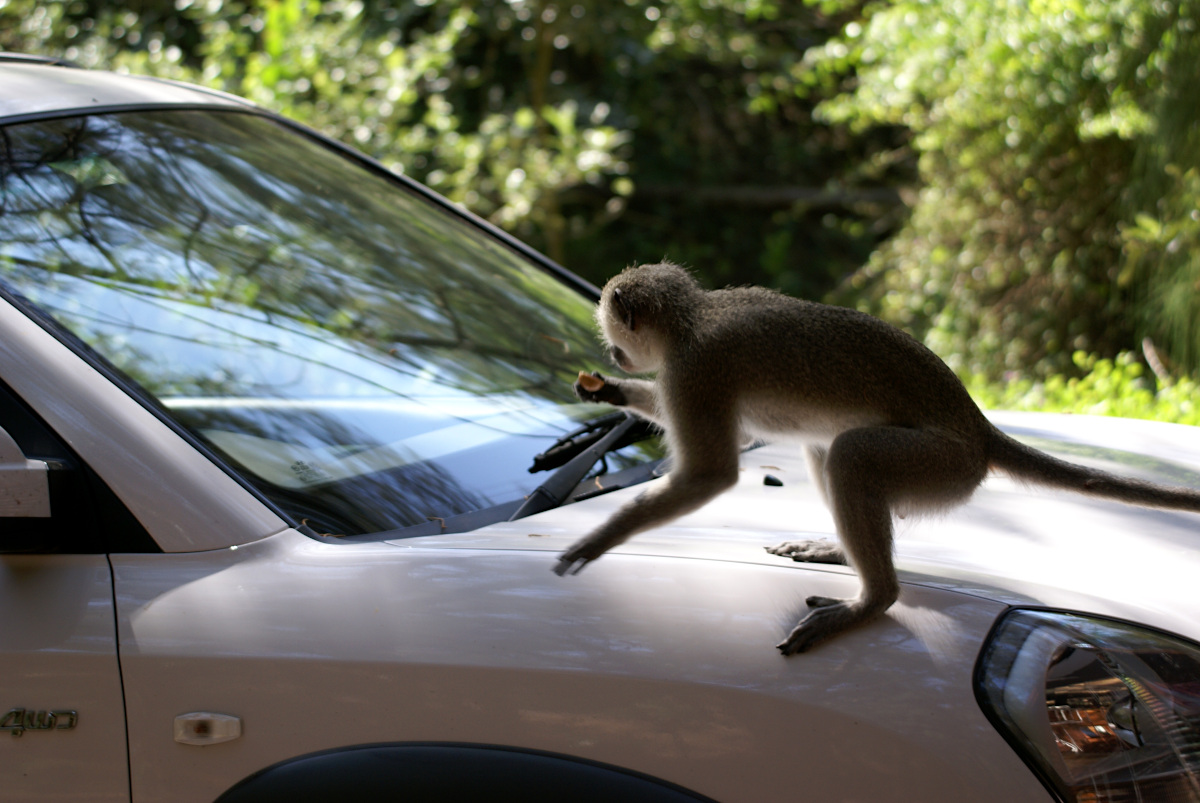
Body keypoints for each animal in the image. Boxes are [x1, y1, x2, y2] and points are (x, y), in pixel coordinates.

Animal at [554, 261, 1200, 652]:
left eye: (617, 334)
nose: (614, 354)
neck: (693, 319)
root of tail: (978, 427)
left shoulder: (695, 373)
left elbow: (714, 471)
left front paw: (601, 538)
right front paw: (611, 392)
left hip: (944, 466)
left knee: (850, 454)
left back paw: (873, 600)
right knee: (826, 447)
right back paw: (845, 553)